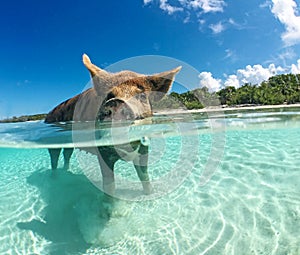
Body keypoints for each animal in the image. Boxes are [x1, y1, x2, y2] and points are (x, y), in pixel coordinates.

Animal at [44, 54, 180, 195]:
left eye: (142, 96)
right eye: (109, 95)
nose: (116, 103)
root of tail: (47, 115)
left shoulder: (144, 148)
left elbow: (143, 175)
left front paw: (150, 193)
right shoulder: (102, 150)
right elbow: (109, 185)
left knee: (67, 154)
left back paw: (66, 171)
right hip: (52, 142)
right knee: (54, 158)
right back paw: (54, 178)